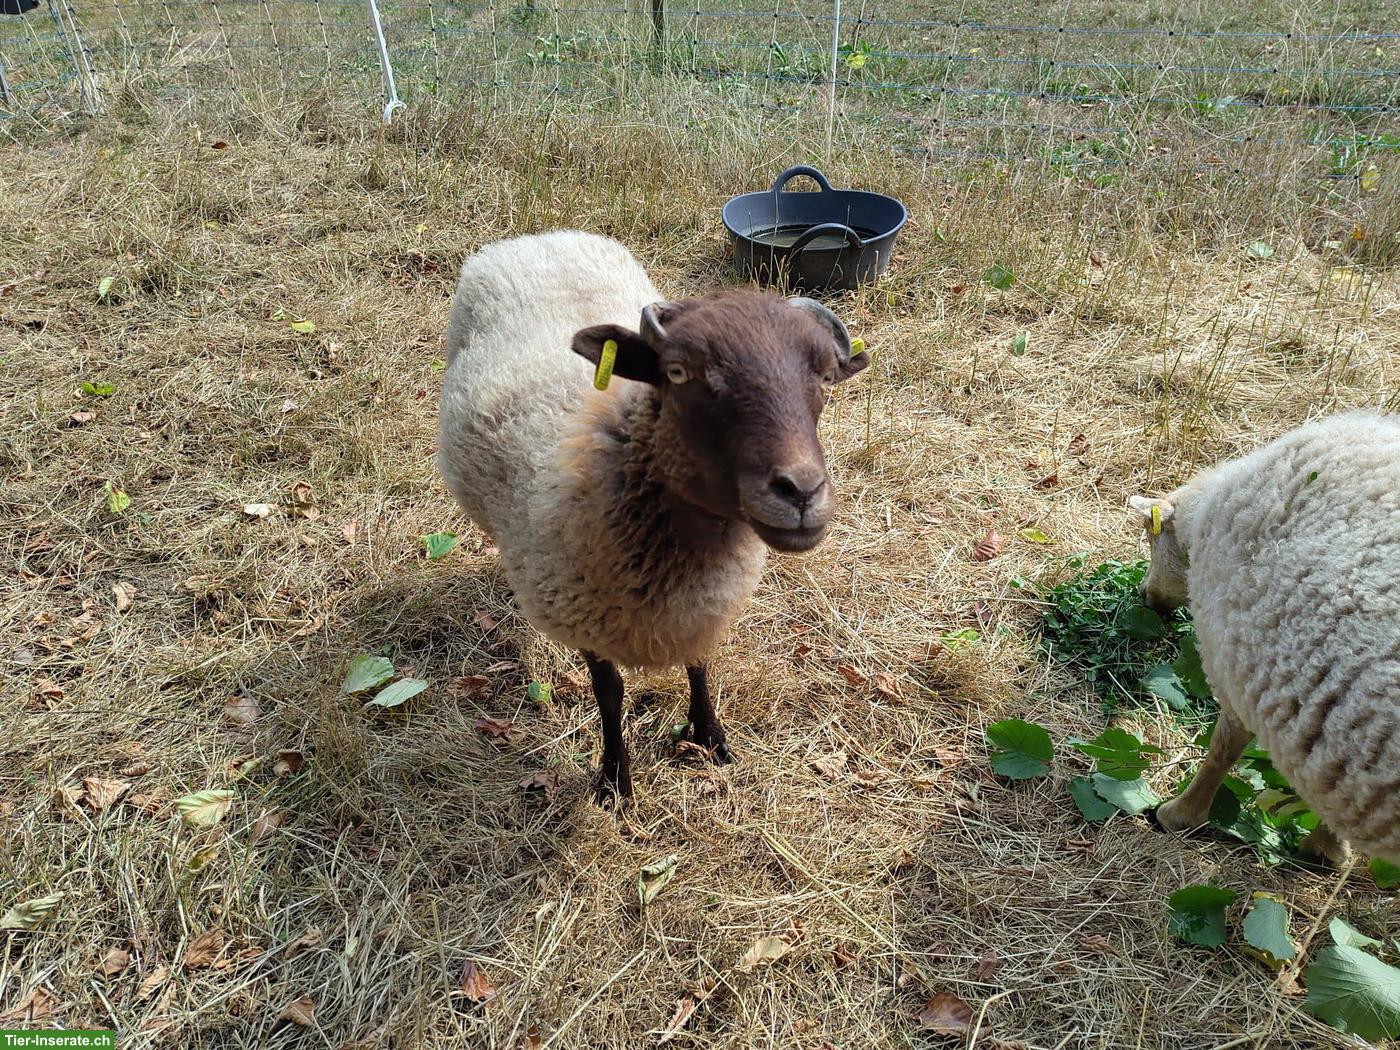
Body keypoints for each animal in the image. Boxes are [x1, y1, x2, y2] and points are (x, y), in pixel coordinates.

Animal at [437, 230, 869, 803]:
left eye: (823, 376)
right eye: (678, 373)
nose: (801, 491)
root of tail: (539, 237)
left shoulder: (703, 609)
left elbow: (700, 663)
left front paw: (710, 737)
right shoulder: (583, 610)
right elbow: (610, 690)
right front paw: (614, 779)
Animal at [1129, 410, 1400, 864]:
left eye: (1152, 539)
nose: (1146, 597)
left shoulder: (1239, 662)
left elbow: (1224, 748)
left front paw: (1179, 814)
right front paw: (1330, 848)